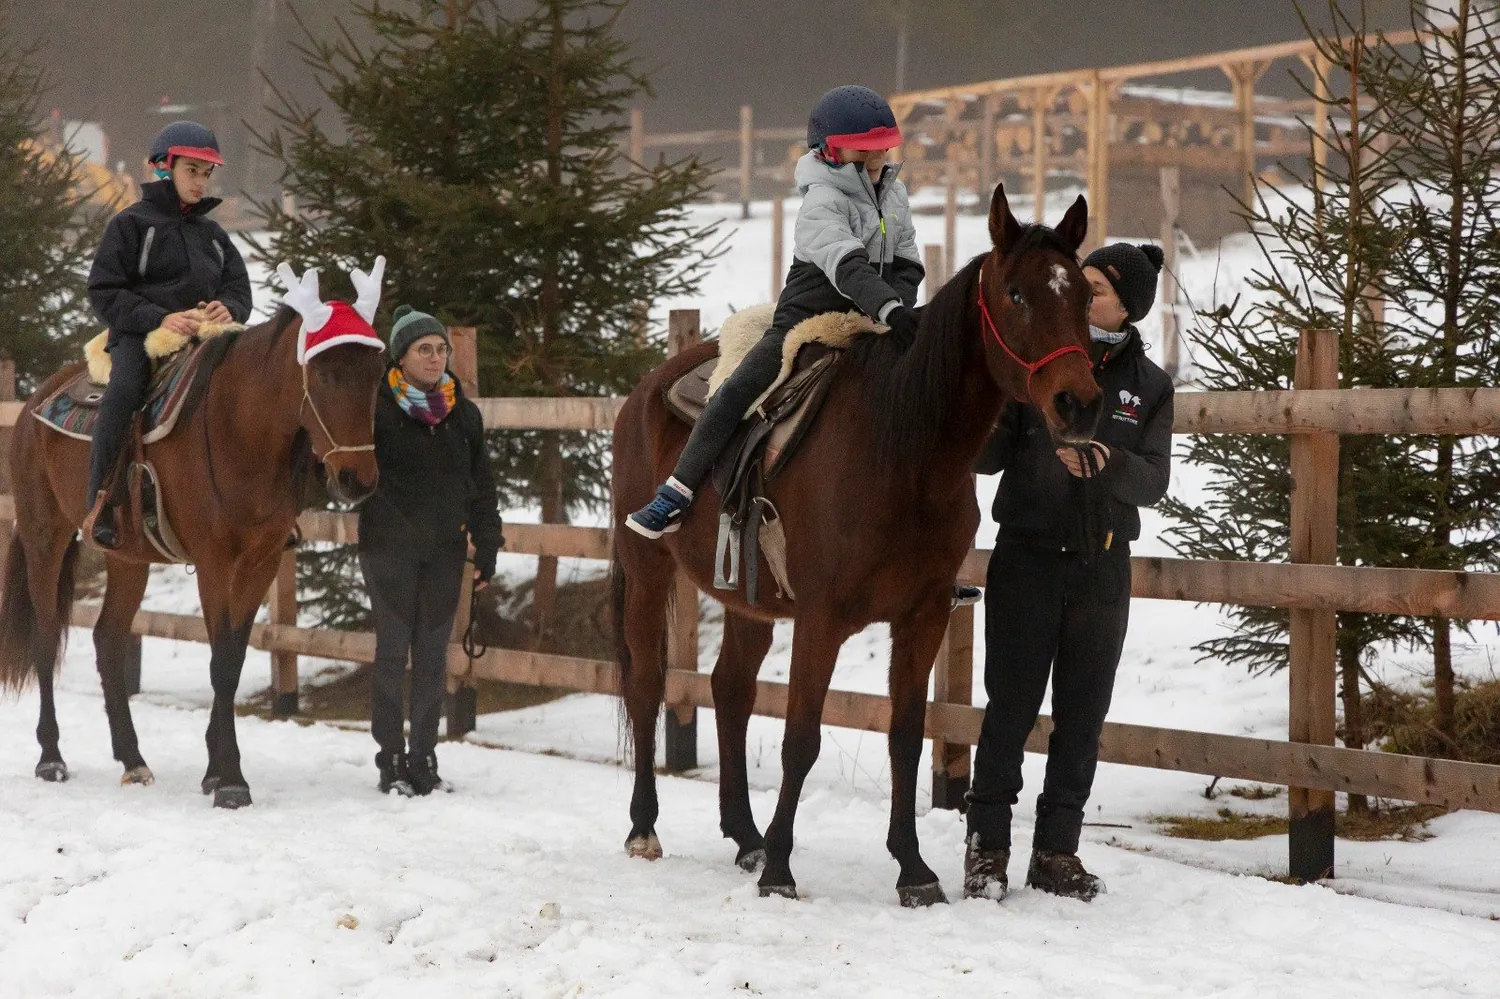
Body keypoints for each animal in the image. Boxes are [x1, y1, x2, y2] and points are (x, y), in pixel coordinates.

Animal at [0, 264, 387, 808]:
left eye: (376, 373)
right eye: (325, 374)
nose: (358, 479)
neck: (240, 427)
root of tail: (36, 399)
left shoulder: (262, 560)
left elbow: (234, 659)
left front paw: (215, 770)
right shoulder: (213, 561)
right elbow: (220, 662)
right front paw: (231, 781)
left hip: (128, 556)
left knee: (107, 638)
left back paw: (133, 760)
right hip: (44, 535)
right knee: (45, 633)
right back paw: (51, 758)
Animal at [610, 183, 1103, 906]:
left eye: (1085, 297)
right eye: (1016, 293)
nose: (1078, 403)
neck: (899, 447)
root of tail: (644, 388)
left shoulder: (922, 616)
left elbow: (905, 737)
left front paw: (914, 870)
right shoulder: (821, 618)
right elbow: (801, 738)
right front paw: (783, 871)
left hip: (748, 598)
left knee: (730, 689)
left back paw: (746, 836)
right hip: (647, 570)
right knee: (646, 685)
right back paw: (646, 828)